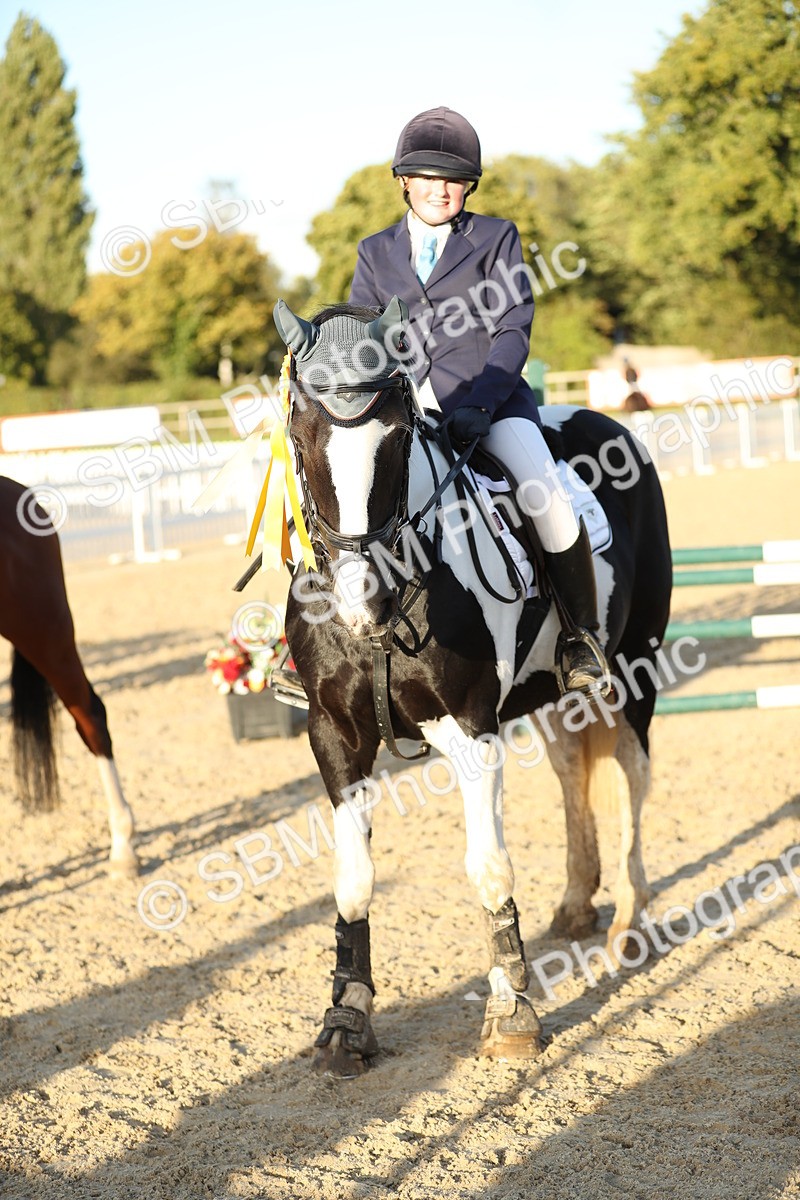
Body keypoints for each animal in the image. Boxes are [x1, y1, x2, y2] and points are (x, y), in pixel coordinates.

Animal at [270, 298, 672, 1077]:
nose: (362, 604)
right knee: (572, 770)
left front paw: (512, 1015)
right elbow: (353, 879)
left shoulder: (471, 729)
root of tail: (605, 421)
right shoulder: (333, 734)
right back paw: (576, 905)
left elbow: (488, 867)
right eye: (302, 435)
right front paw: (346, 1021)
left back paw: (629, 926)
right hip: (551, 694)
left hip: (633, 668)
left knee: (633, 776)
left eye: (398, 439)